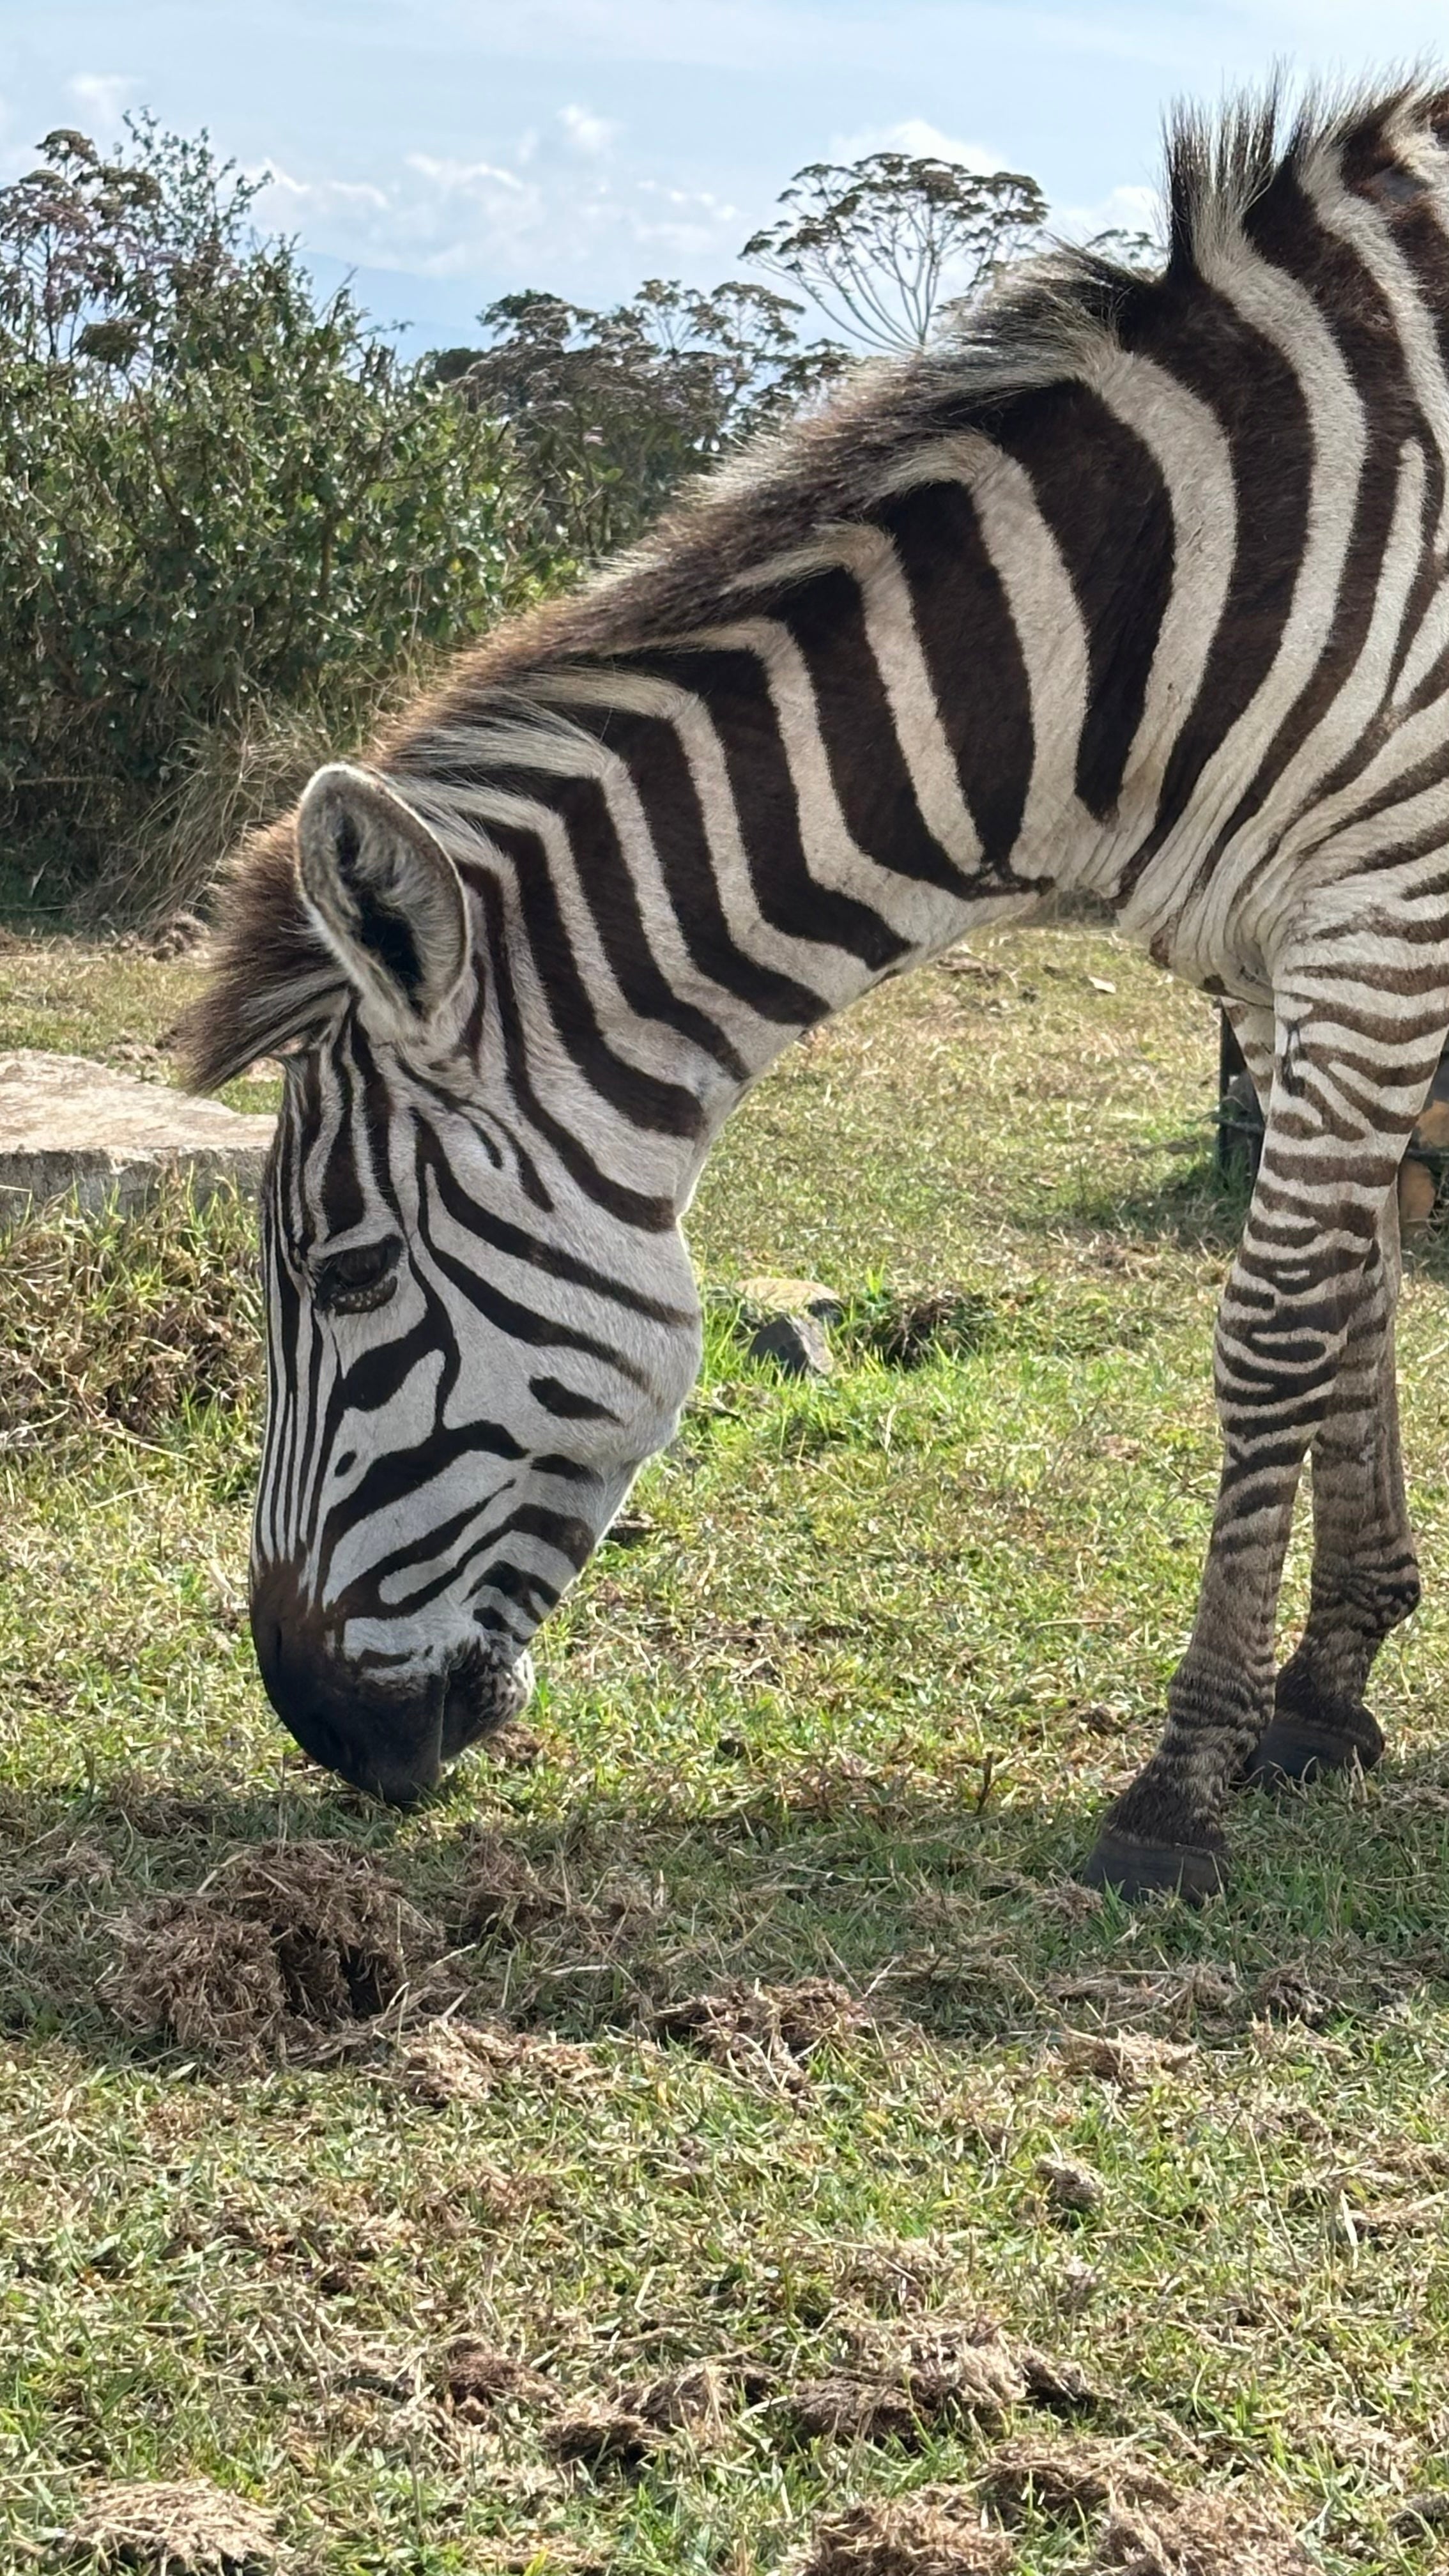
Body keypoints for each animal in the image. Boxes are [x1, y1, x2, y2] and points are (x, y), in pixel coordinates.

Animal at [187, 77, 1449, 1900]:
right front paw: (1328, 1689)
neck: (1150, 601)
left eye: (348, 1275)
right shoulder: (1281, 948)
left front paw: (1180, 1781)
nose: (318, 1729)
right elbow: (1356, 1296)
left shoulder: (1385, 906)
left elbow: (1277, 1325)